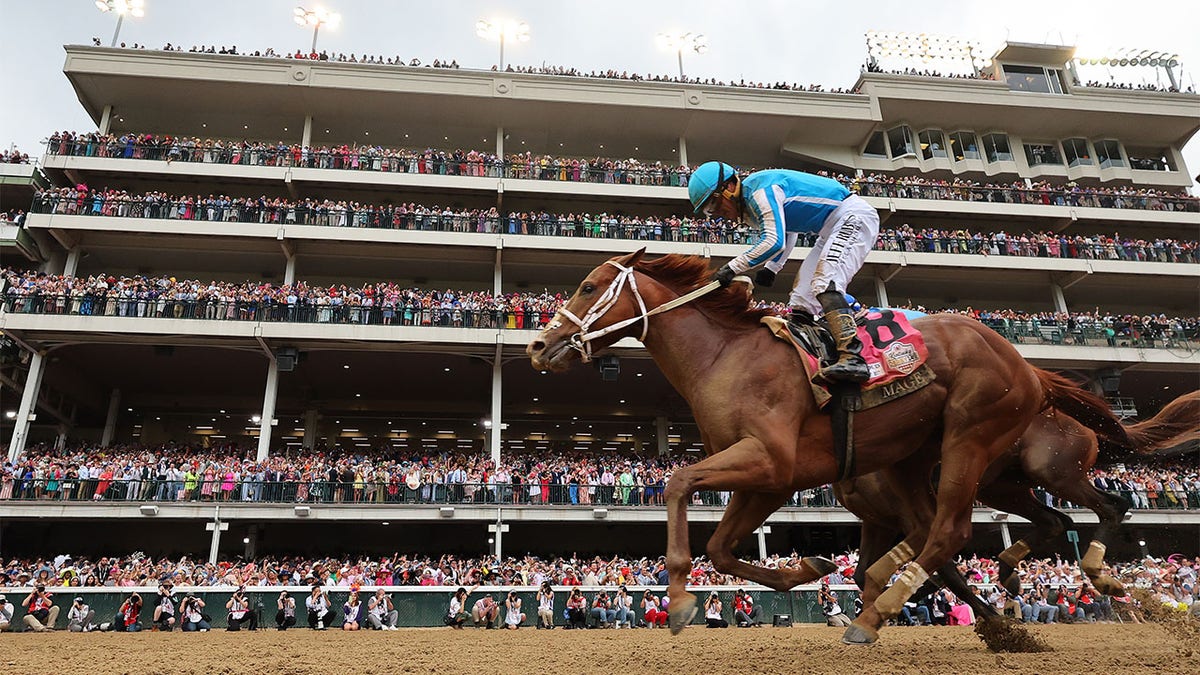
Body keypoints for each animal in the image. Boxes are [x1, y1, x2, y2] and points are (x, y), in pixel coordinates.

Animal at [525, 251, 1123, 638]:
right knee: (983, 529)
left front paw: (676, 601)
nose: (538, 345)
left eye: (587, 286)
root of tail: (1027, 366)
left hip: (973, 440)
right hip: (921, 462)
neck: (724, 357)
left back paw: (887, 611)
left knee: (958, 529)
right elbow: (720, 549)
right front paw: (806, 570)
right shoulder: (768, 481)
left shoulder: (769, 461)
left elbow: (678, 484)